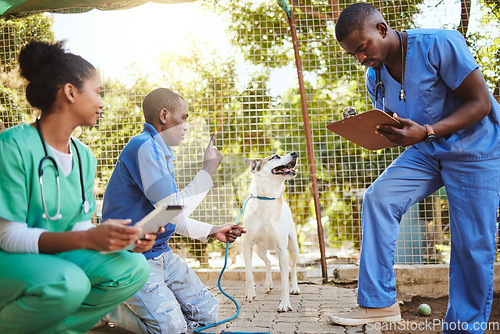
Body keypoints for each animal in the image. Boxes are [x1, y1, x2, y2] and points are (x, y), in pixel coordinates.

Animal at [242, 153, 300, 312]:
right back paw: (267, 284)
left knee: (293, 269)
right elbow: (249, 273)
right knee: (268, 263)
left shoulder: (281, 250)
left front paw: (284, 304)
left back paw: (295, 288)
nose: (294, 153)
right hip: (258, 250)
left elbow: (285, 280)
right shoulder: (247, 246)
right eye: (275, 156)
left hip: (294, 247)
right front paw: (250, 294)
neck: (266, 199)